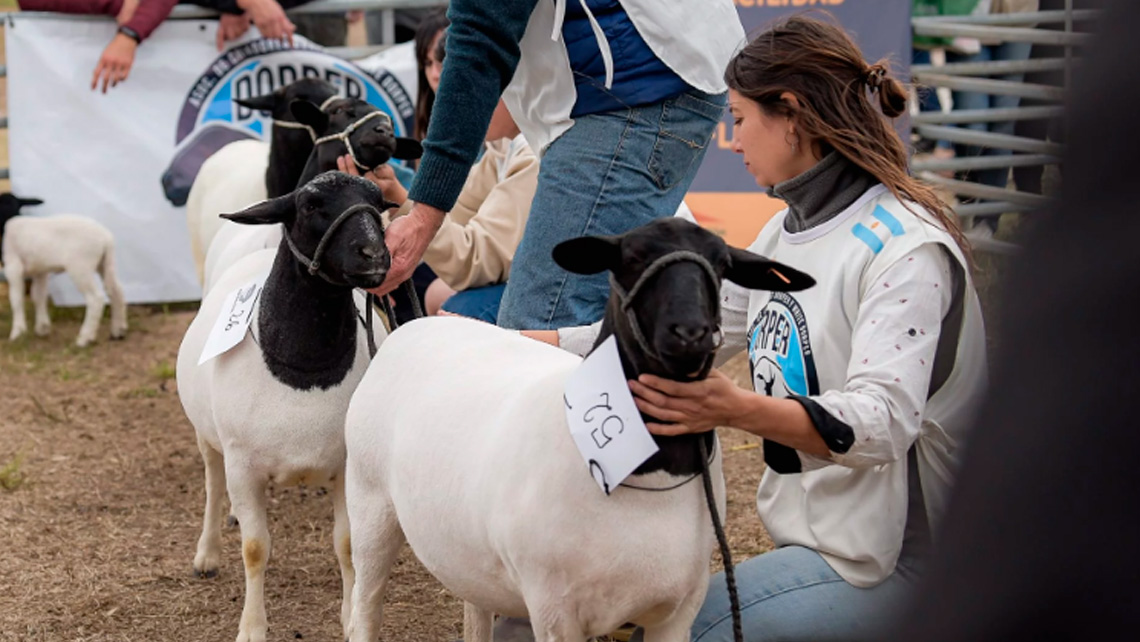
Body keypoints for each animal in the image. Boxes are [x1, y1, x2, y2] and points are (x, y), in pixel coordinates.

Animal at [173, 173, 396, 642]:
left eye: (378, 202)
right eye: (311, 204)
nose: (374, 254)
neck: (304, 370)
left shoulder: (346, 467)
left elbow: (345, 544)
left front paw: (349, 617)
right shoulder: (243, 466)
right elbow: (255, 548)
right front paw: (252, 628)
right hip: (209, 439)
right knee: (213, 484)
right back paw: (208, 554)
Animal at [342, 218, 816, 638]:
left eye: (721, 265)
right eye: (632, 258)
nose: (691, 333)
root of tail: (414, 325)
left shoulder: (679, 610)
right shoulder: (554, 610)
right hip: (369, 503)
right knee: (365, 609)